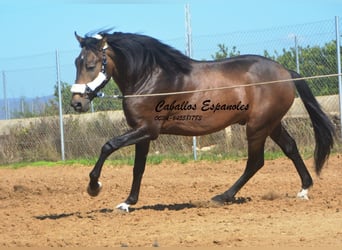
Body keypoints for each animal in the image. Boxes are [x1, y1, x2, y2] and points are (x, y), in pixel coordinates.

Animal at [69, 30, 334, 212]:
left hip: (258, 127)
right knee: (290, 148)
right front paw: (127, 202)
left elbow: (108, 145)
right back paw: (304, 189)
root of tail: (287, 73)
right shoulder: (141, 131)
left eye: (91, 64)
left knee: (255, 162)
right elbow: (138, 168)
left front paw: (94, 187)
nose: (76, 103)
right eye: (76, 63)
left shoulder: (148, 130)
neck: (150, 77)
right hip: (271, 124)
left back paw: (222, 196)